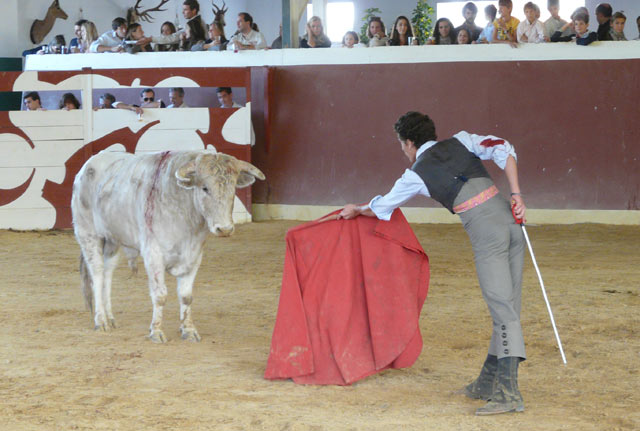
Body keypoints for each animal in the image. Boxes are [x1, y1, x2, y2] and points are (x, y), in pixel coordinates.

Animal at [72, 150, 264, 342]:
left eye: (233, 189)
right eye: (205, 188)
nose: (224, 229)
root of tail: (88, 165)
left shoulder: (194, 257)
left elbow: (186, 296)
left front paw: (188, 330)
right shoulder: (153, 255)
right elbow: (160, 295)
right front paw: (156, 332)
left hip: (113, 240)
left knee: (108, 273)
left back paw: (110, 318)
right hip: (88, 234)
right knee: (97, 274)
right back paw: (100, 320)